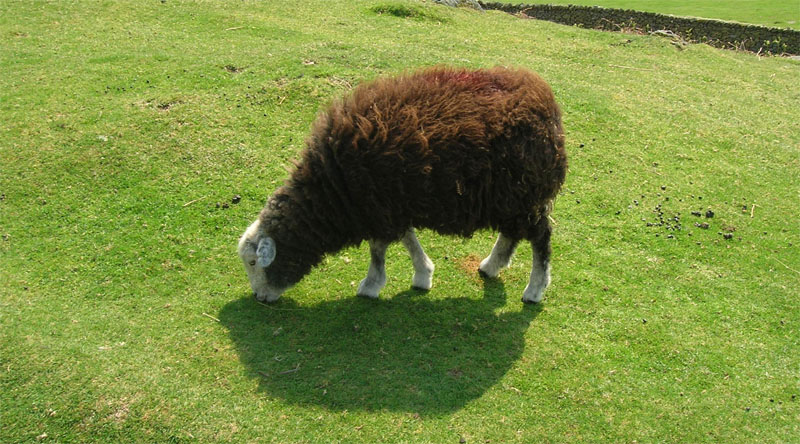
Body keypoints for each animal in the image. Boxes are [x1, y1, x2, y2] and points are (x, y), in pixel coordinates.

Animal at [238, 66, 567, 303]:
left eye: (254, 263)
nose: (260, 298)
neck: (331, 190)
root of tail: (545, 101)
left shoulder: (376, 205)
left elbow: (378, 249)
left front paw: (371, 285)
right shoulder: (390, 204)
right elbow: (407, 239)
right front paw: (423, 274)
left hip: (524, 192)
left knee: (540, 238)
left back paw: (535, 290)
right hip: (511, 196)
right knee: (512, 234)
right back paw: (491, 266)